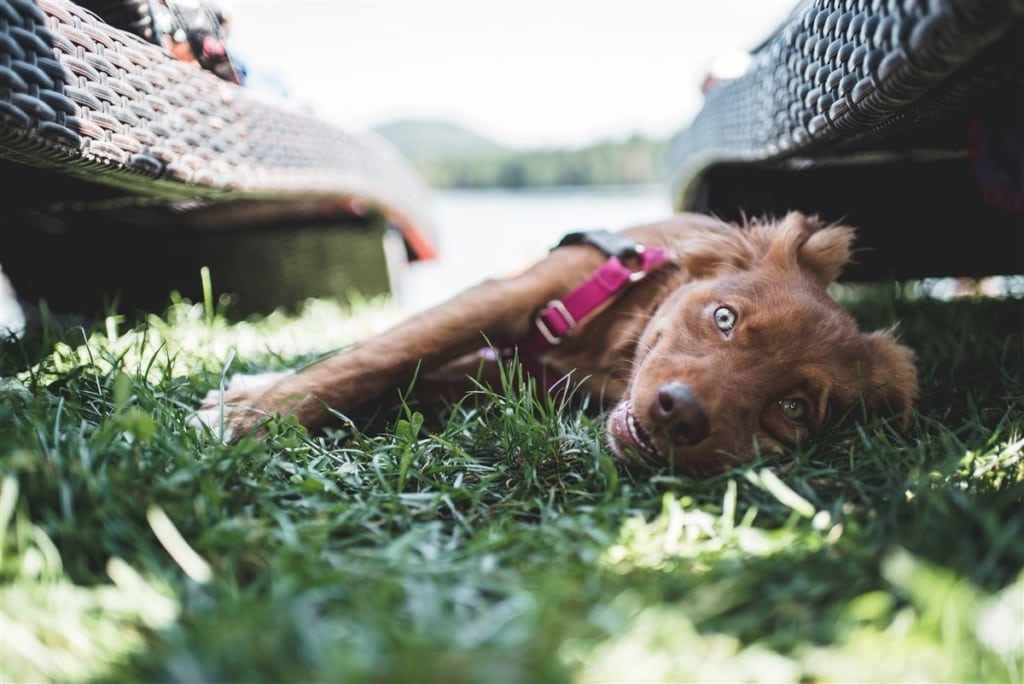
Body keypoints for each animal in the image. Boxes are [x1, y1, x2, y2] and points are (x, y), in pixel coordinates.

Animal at [195, 210, 917, 473]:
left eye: (792, 409)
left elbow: (402, 373)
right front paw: (250, 416)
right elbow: (377, 357)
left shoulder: (506, 371)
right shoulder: (503, 296)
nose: (678, 413)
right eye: (724, 319)